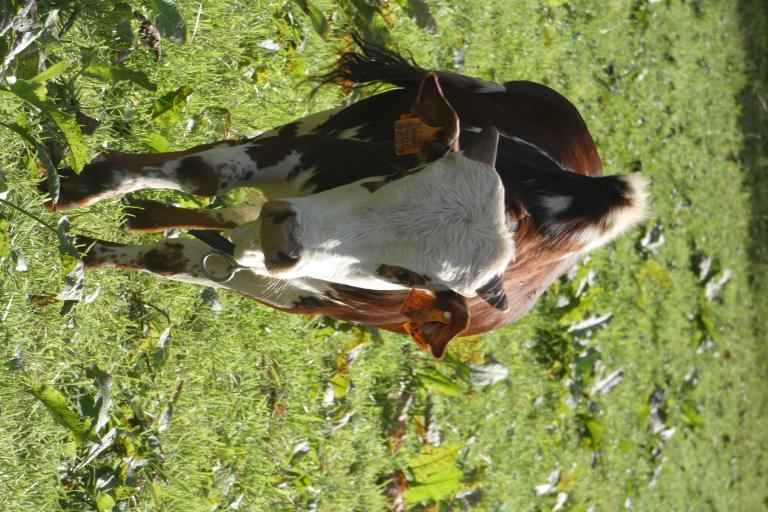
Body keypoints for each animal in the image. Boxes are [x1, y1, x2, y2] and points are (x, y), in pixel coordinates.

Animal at [39, 41, 644, 360]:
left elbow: (181, 257)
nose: (283, 235)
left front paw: (93, 251)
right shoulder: (304, 151)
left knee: (224, 222)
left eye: (408, 278)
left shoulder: (294, 293)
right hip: (321, 123)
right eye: (397, 176)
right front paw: (80, 191)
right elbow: (200, 172)